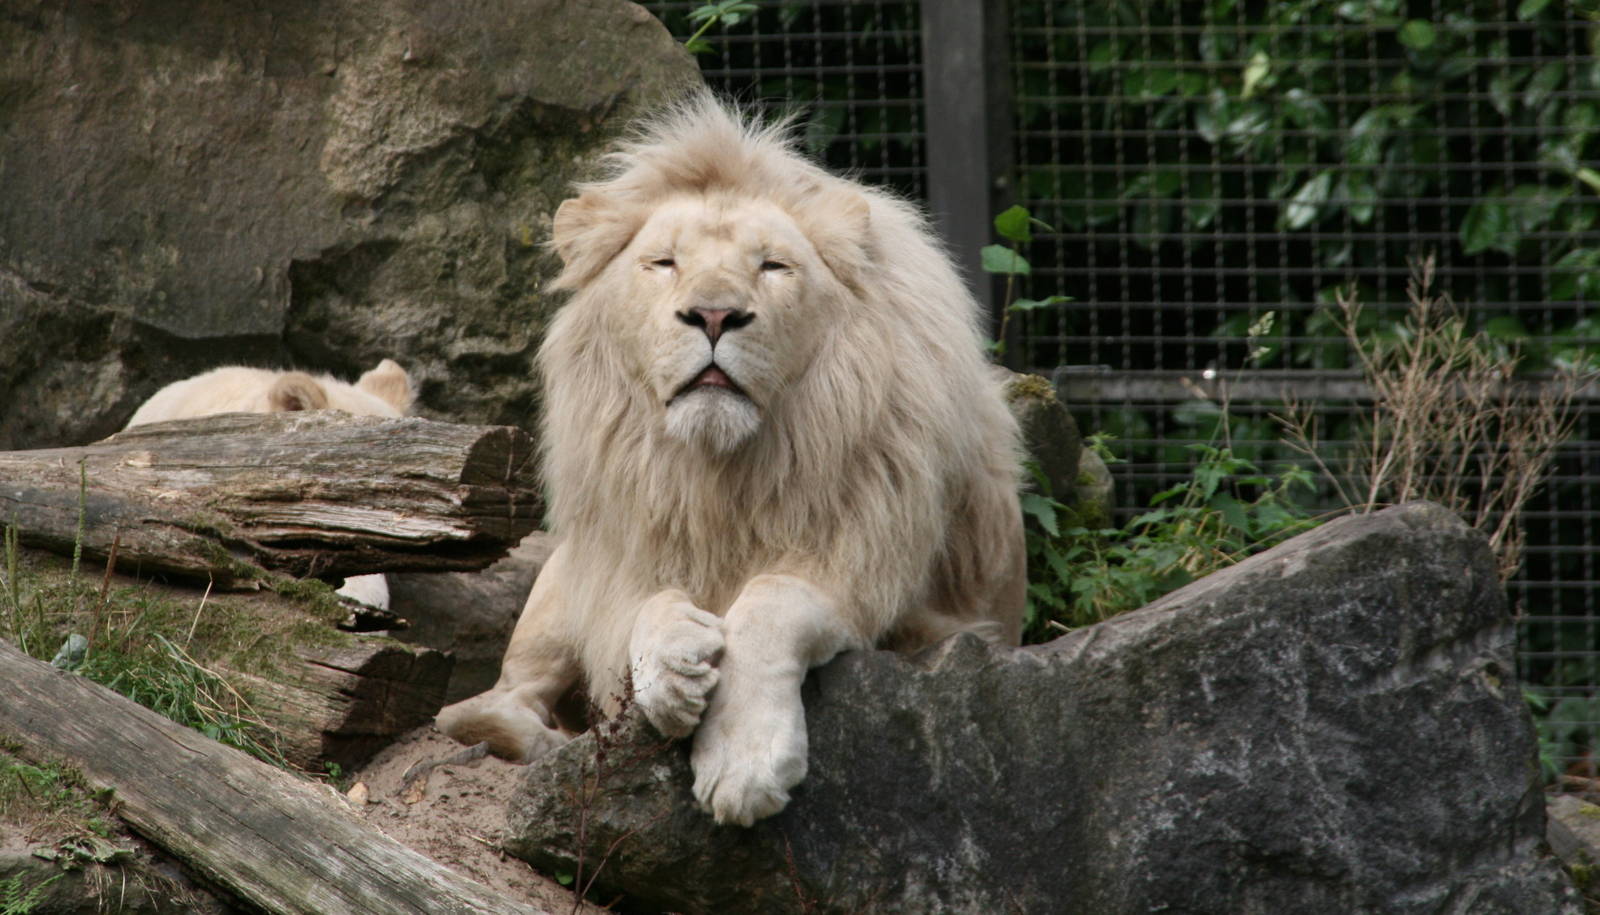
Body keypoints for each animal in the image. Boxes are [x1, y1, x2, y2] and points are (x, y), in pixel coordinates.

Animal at [435, 95, 1025, 826]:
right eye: (663, 262)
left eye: (772, 266)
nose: (714, 315)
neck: (722, 471)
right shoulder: (623, 559)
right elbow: (646, 605)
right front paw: (672, 663)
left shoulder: (895, 596)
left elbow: (771, 599)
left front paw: (745, 764)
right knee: (483, 704)